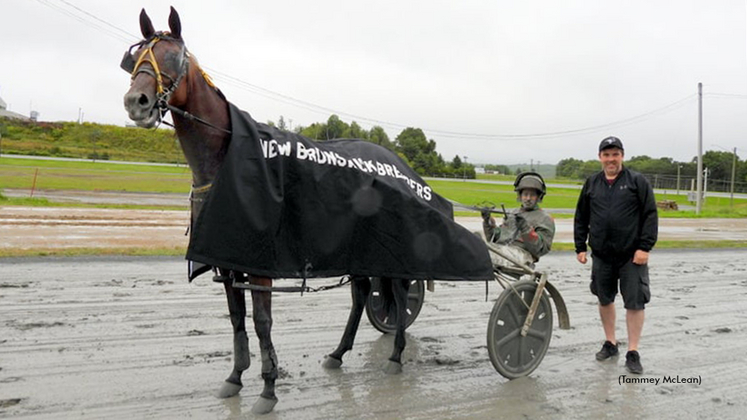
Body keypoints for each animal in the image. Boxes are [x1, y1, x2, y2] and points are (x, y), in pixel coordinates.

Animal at [123, 6, 414, 414]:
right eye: (136, 58)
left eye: (173, 56)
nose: (137, 101)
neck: (228, 162)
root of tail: (394, 160)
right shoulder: (227, 261)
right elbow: (237, 319)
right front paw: (235, 377)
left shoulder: (259, 265)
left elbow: (262, 321)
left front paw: (268, 389)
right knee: (360, 297)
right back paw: (338, 354)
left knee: (401, 295)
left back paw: (396, 356)